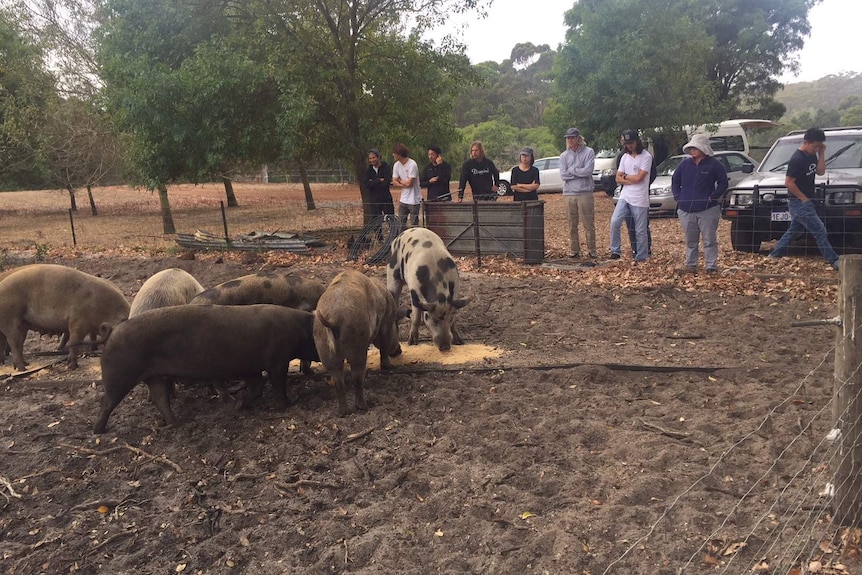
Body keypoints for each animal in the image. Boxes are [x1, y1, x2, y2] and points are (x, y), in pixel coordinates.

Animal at [0, 264, 130, 372]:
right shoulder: (77, 323)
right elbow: (74, 344)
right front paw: (72, 367)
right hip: (10, 320)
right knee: (15, 343)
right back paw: (22, 368)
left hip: (20, 324)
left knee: (15, 342)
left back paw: (23, 364)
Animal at [93, 306, 320, 432]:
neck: (299, 330)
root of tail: (112, 331)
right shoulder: (277, 359)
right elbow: (277, 384)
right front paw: (287, 405)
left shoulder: (250, 367)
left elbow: (257, 387)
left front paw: (238, 405)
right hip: (119, 375)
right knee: (107, 401)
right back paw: (99, 431)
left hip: (153, 376)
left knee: (160, 399)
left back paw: (176, 424)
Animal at [314, 268, 402, 416]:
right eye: (398, 329)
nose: (399, 351)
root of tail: (332, 318)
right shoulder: (386, 325)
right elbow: (384, 348)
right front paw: (389, 367)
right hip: (356, 344)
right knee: (357, 378)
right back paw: (363, 408)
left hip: (324, 348)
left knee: (338, 381)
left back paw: (344, 413)